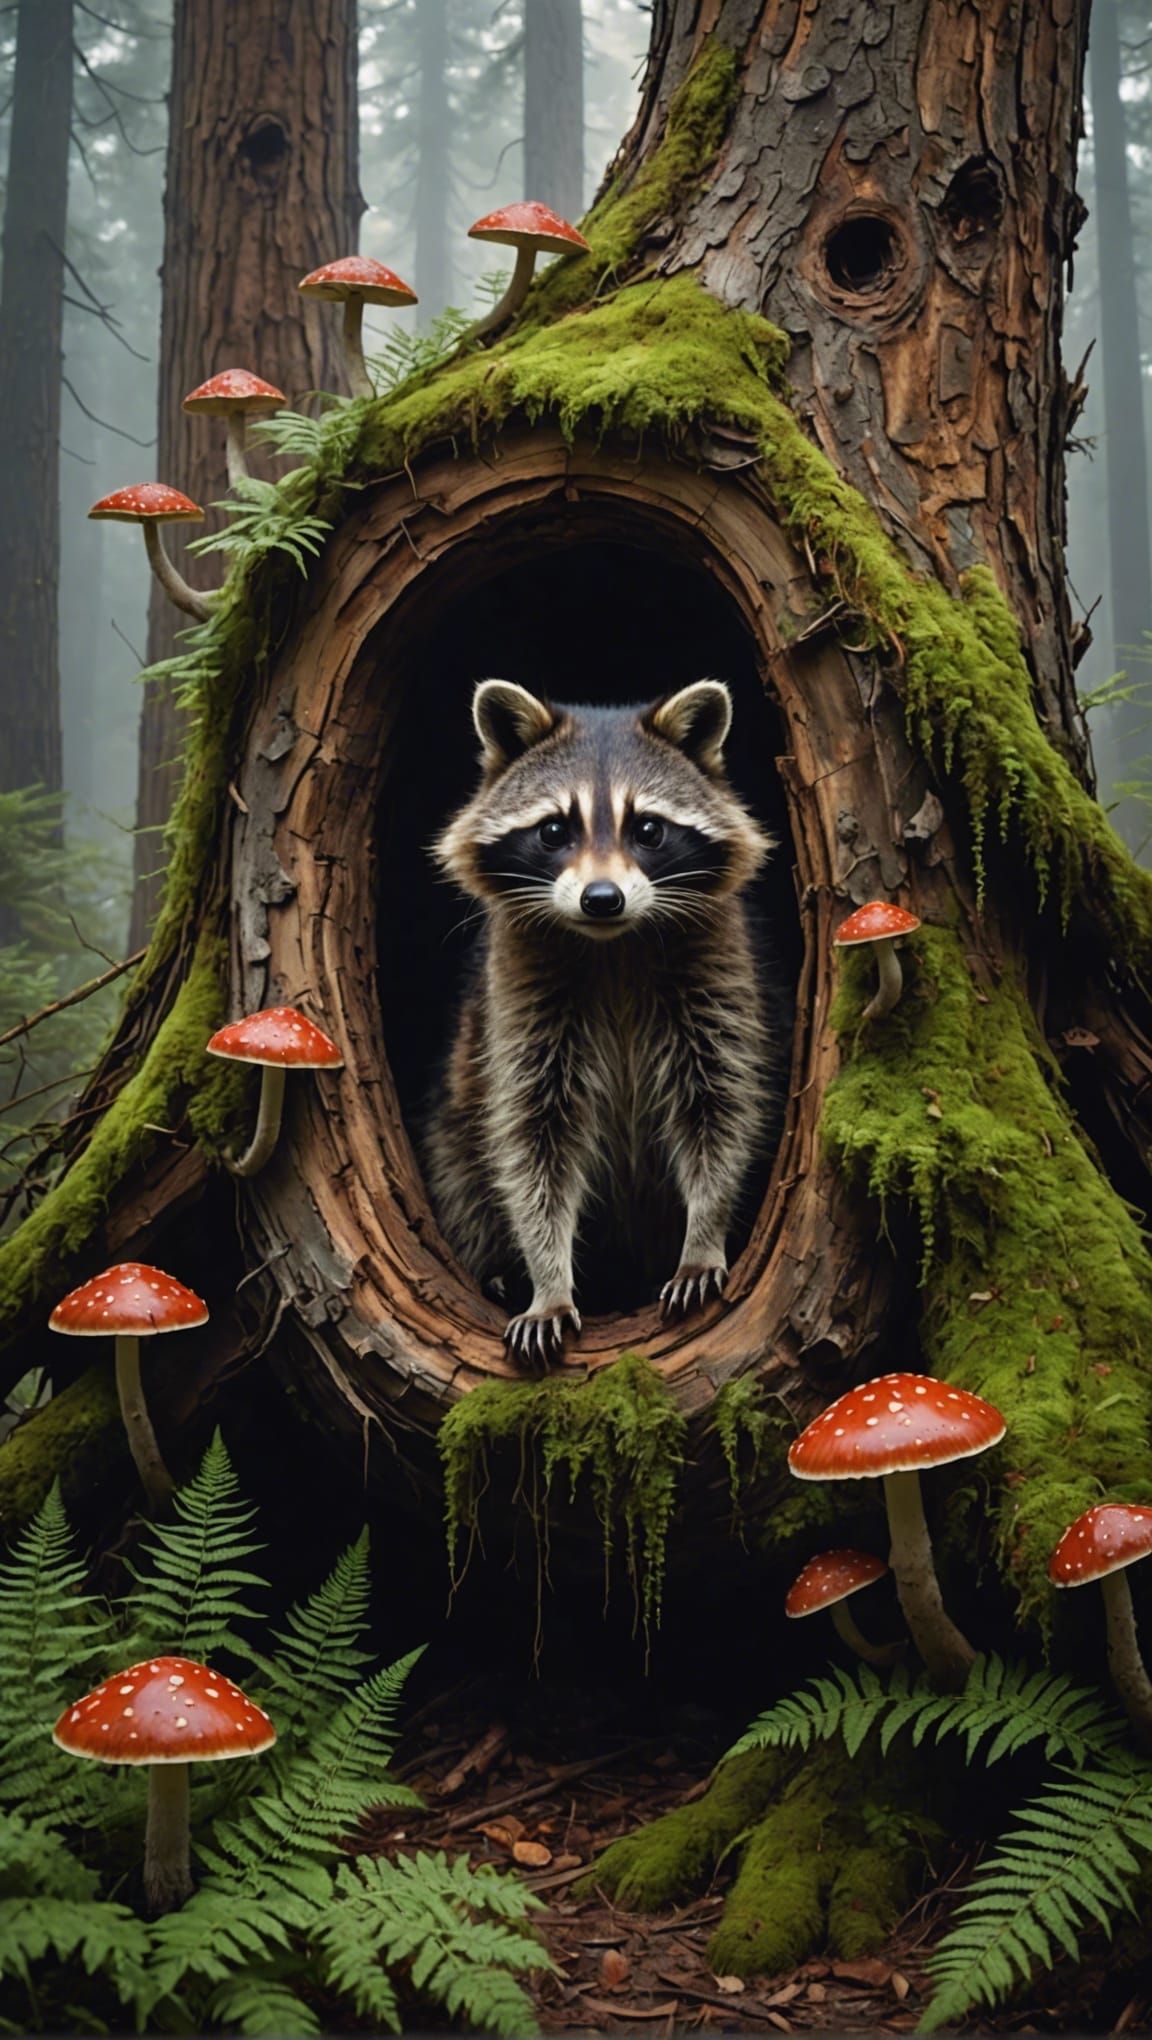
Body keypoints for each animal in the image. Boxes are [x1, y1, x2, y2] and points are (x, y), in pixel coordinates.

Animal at [425, 677, 775, 1369]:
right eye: (555, 829)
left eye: (649, 829)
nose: (602, 899)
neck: (613, 944)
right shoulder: (520, 998)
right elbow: (532, 1141)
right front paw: (547, 1280)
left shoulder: (717, 973)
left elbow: (717, 1111)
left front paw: (704, 1235)